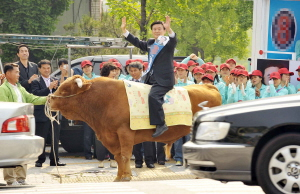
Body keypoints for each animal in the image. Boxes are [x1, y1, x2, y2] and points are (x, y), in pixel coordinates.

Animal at [49, 75, 221, 182]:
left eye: (65, 90)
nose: (49, 100)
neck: (104, 99)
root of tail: (208, 86)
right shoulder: (110, 136)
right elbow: (118, 157)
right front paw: (119, 176)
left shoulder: (125, 133)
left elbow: (125, 156)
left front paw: (126, 176)